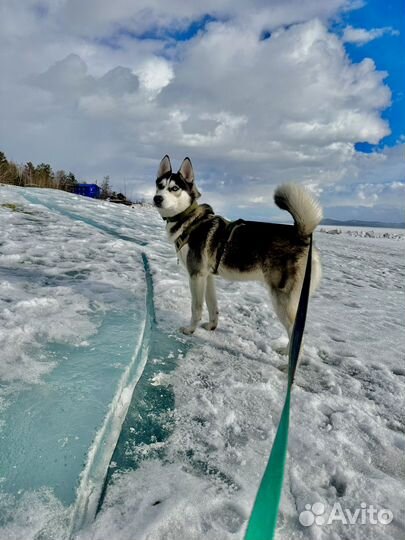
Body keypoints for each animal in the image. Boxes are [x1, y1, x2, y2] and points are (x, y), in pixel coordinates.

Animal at [153, 156, 320, 350]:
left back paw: (285, 354)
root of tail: (302, 235)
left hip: (282, 299)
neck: (189, 219)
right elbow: (212, 305)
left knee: (296, 335)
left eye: (174, 188)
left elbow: (196, 307)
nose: (157, 198)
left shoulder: (196, 275)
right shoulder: (207, 276)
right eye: (159, 185)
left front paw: (190, 330)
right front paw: (212, 326)